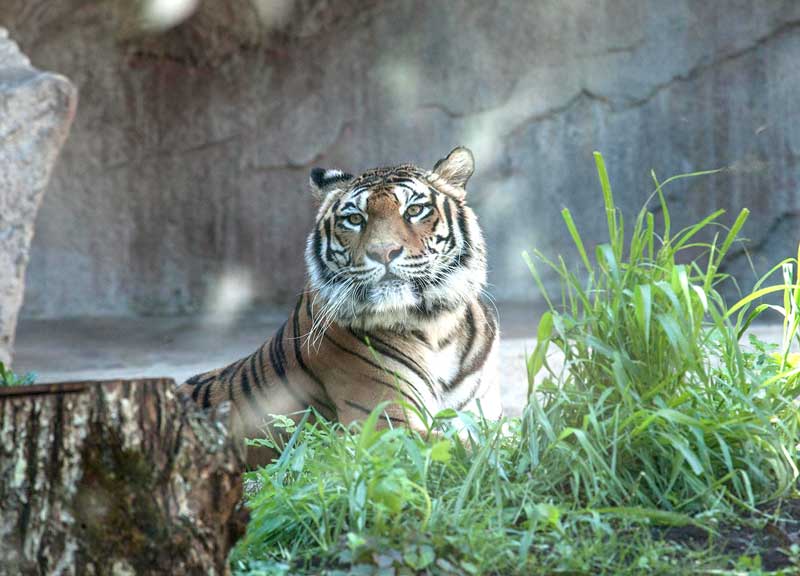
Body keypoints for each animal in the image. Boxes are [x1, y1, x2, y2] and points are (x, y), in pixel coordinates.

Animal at [178, 147, 501, 453]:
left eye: (415, 210)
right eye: (355, 219)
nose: (383, 252)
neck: (437, 328)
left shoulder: (480, 418)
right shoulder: (382, 427)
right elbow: (477, 448)